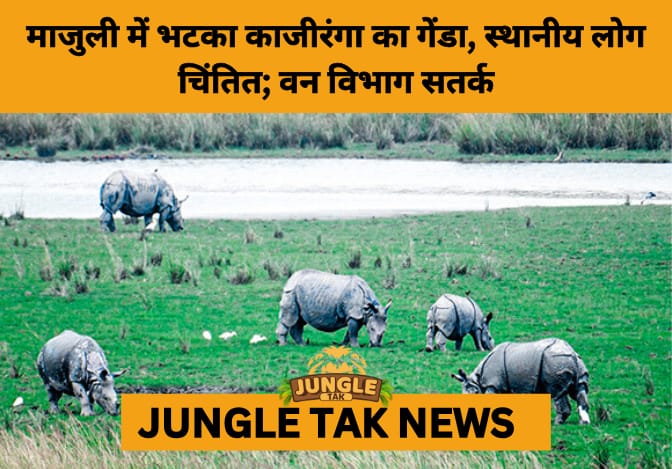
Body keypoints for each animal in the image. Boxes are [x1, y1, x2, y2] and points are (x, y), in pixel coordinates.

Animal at [451, 338, 590, 424]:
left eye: (474, 394)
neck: (477, 381)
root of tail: (571, 352)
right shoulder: (505, 387)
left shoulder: (493, 384)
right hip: (573, 361)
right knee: (579, 388)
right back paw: (584, 423)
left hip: (555, 361)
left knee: (557, 392)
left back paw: (557, 423)